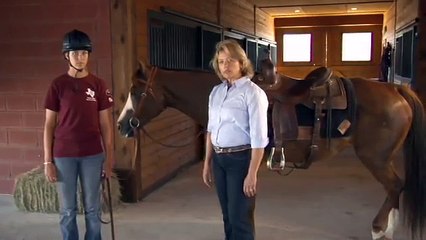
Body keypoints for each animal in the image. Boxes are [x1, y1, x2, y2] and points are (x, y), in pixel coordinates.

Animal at [117, 61, 426, 239]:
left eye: (135, 91)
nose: (121, 125)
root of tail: (397, 91)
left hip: (376, 158)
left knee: (395, 185)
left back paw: (379, 228)